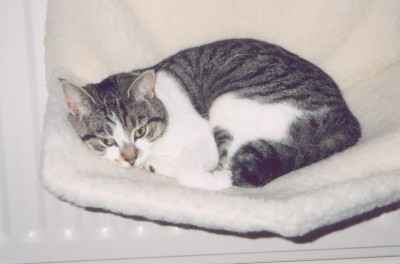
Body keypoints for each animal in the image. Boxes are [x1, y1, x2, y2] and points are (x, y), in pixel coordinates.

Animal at [60, 38, 362, 190]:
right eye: (106, 140)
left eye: (140, 130)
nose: (130, 158)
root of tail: (344, 116)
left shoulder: (202, 141)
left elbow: (193, 168)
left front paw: (158, 164)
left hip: (229, 103)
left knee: (228, 174)